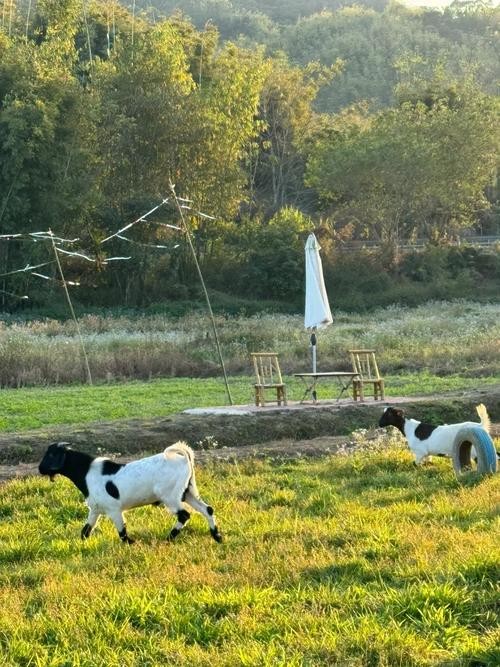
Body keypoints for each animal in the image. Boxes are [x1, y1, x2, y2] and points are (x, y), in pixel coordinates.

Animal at [37, 444, 221, 544]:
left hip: (170, 496)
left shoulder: (114, 510)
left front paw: (133, 543)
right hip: (187, 492)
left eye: (51, 454)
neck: (88, 472)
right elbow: (85, 531)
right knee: (207, 509)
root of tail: (183, 457)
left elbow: (122, 533)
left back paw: (169, 538)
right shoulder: (95, 510)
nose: (40, 469)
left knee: (184, 515)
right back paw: (217, 536)